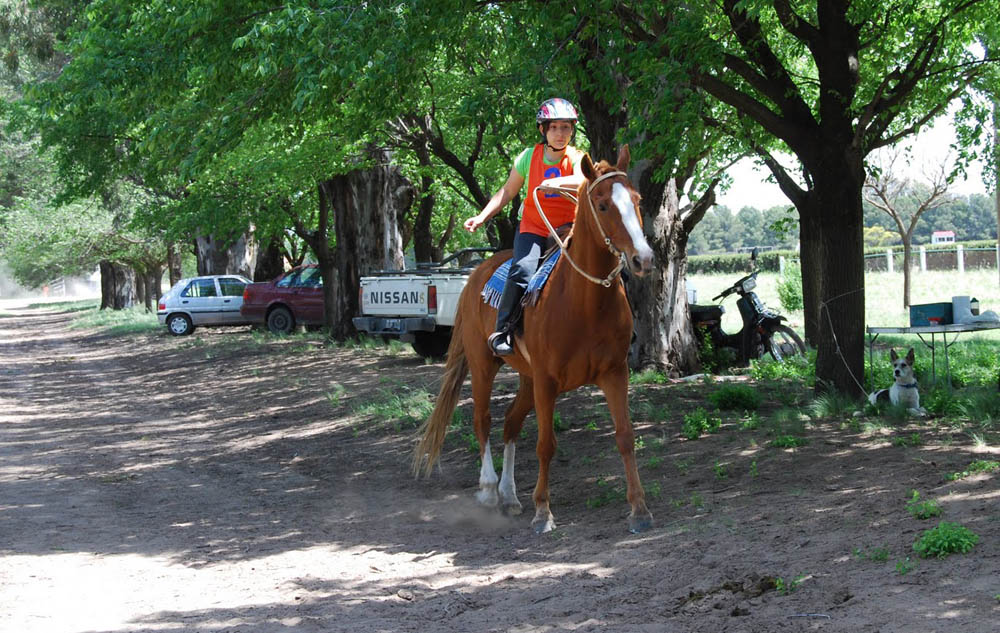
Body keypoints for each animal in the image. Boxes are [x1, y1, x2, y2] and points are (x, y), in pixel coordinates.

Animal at [414, 144, 656, 532]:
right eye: (603, 204)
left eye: (637, 199)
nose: (643, 259)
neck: (584, 301)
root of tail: (475, 275)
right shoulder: (547, 380)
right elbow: (546, 444)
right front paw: (543, 511)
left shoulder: (615, 373)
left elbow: (625, 437)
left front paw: (639, 509)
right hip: (484, 366)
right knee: (483, 420)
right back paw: (489, 490)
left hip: (527, 379)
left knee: (510, 423)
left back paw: (510, 496)